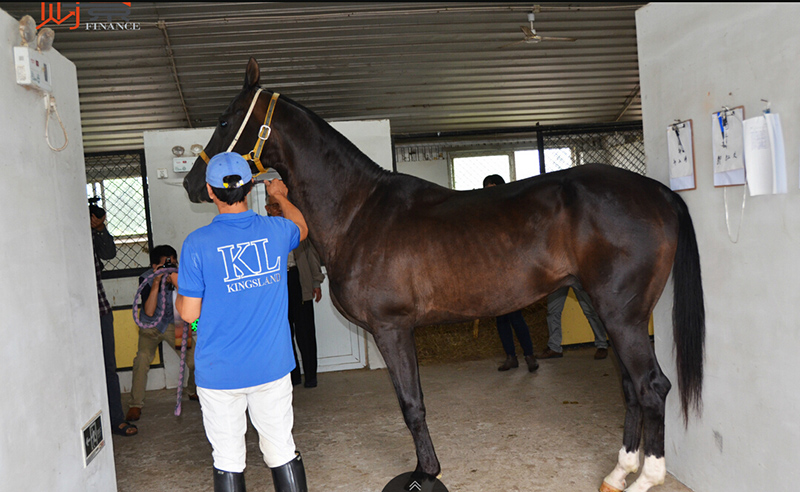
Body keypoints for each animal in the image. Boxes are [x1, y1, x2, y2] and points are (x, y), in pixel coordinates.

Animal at [184, 58, 704, 492]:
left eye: (225, 120)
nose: (193, 184)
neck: (358, 211)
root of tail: (656, 192)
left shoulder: (392, 328)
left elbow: (411, 405)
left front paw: (425, 473)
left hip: (623, 316)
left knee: (652, 387)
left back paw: (646, 478)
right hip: (609, 311)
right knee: (631, 388)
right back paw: (619, 472)